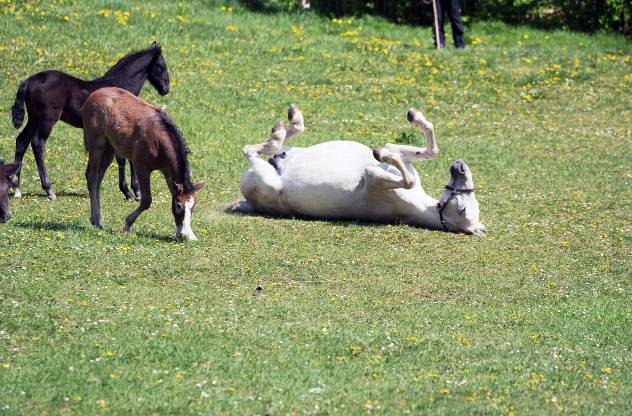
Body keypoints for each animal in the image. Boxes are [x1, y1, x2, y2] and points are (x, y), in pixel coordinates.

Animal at [9, 41, 170, 201]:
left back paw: (16, 188)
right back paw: (49, 190)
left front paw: (128, 191)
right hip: (47, 120)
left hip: (34, 119)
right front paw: (133, 192)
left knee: (21, 141)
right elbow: (123, 158)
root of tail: (28, 81)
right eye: (161, 66)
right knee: (38, 144)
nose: (166, 89)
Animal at [82, 87, 204, 240]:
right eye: (178, 205)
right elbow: (146, 200)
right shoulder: (141, 166)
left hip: (109, 147)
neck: (159, 140)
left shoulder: (167, 171)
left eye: (193, 206)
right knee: (92, 176)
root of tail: (94, 94)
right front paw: (127, 224)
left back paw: (96, 219)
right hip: (96, 143)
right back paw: (97, 221)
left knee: (98, 177)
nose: (184, 236)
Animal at [230, 104, 486, 236]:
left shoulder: (372, 177)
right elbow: (429, 150)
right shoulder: (399, 154)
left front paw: (380, 153)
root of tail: (248, 203)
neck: (418, 203)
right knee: (278, 144)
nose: (460, 167)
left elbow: (403, 176)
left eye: (463, 210)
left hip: (264, 178)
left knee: (253, 150)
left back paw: (280, 133)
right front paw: (414, 116)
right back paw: (290, 122)